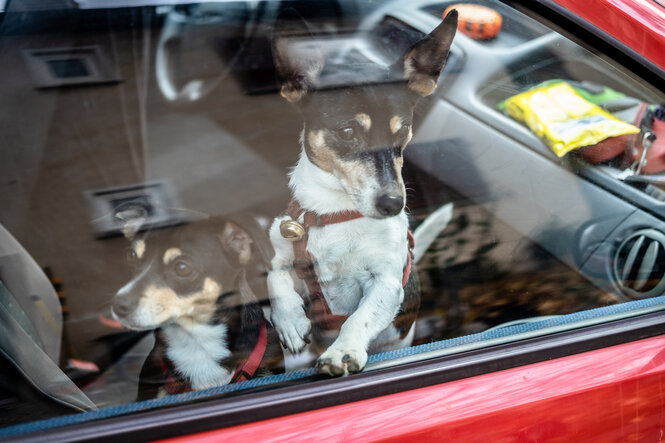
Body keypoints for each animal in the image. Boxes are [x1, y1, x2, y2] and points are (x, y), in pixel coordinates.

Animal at [264, 12, 456, 376]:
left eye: (403, 130)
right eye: (347, 131)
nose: (394, 203)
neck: (335, 213)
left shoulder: (385, 282)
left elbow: (359, 318)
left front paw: (343, 351)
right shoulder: (280, 252)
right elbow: (275, 281)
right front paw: (291, 321)